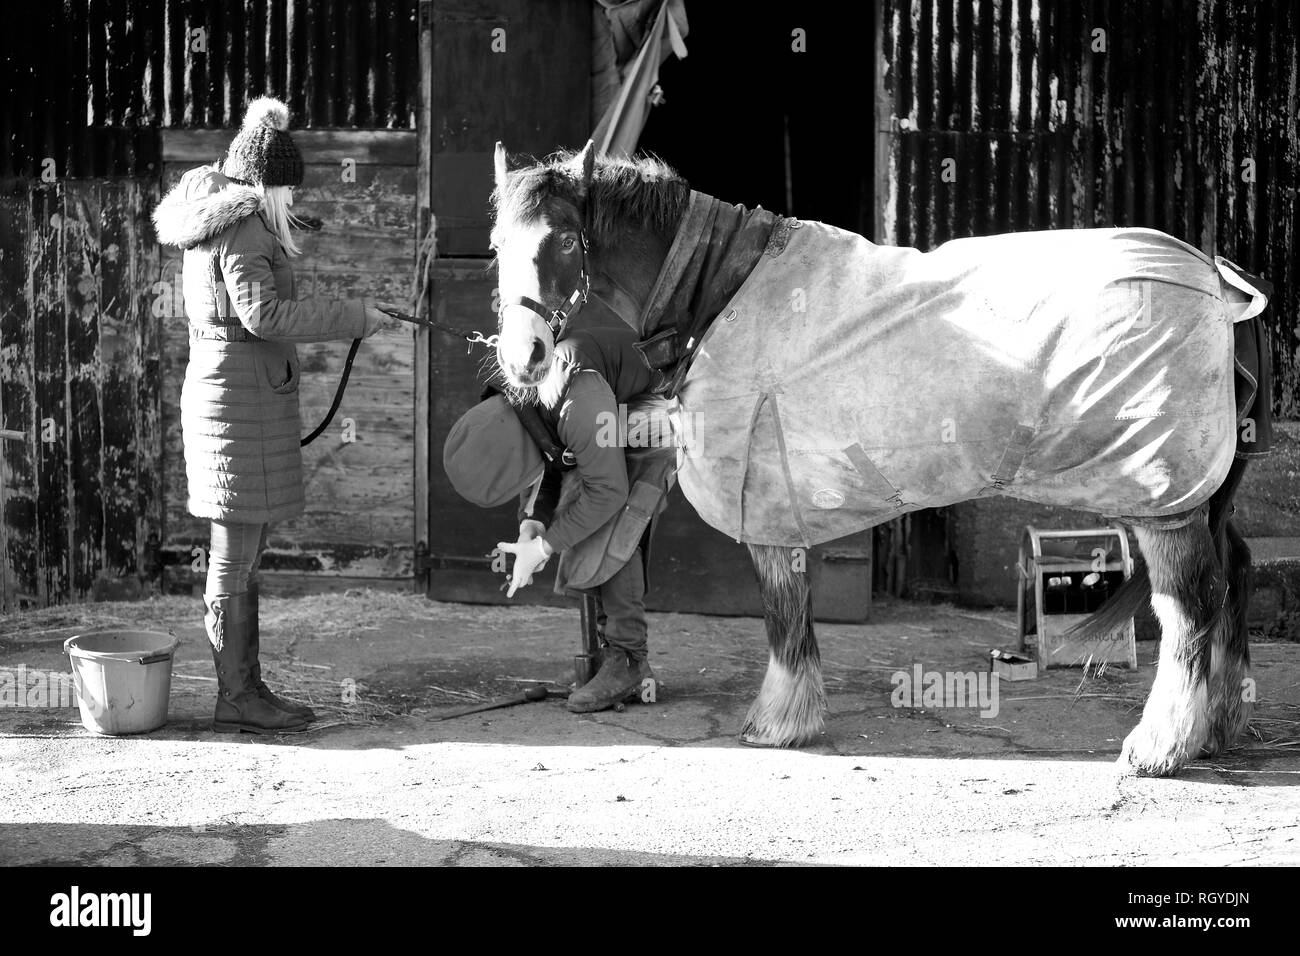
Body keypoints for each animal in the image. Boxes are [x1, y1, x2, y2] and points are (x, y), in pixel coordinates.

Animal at [488, 138, 1268, 780]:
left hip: (1162, 500)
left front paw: (779, 722)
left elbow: (783, 617)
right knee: (1232, 576)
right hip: (1193, 496)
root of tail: (1215, 282)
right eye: (496, 243)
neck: (726, 290)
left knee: (1191, 606)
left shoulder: (769, 513)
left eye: (567, 240)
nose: (523, 358)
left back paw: (1160, 748)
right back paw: (1217, 728)